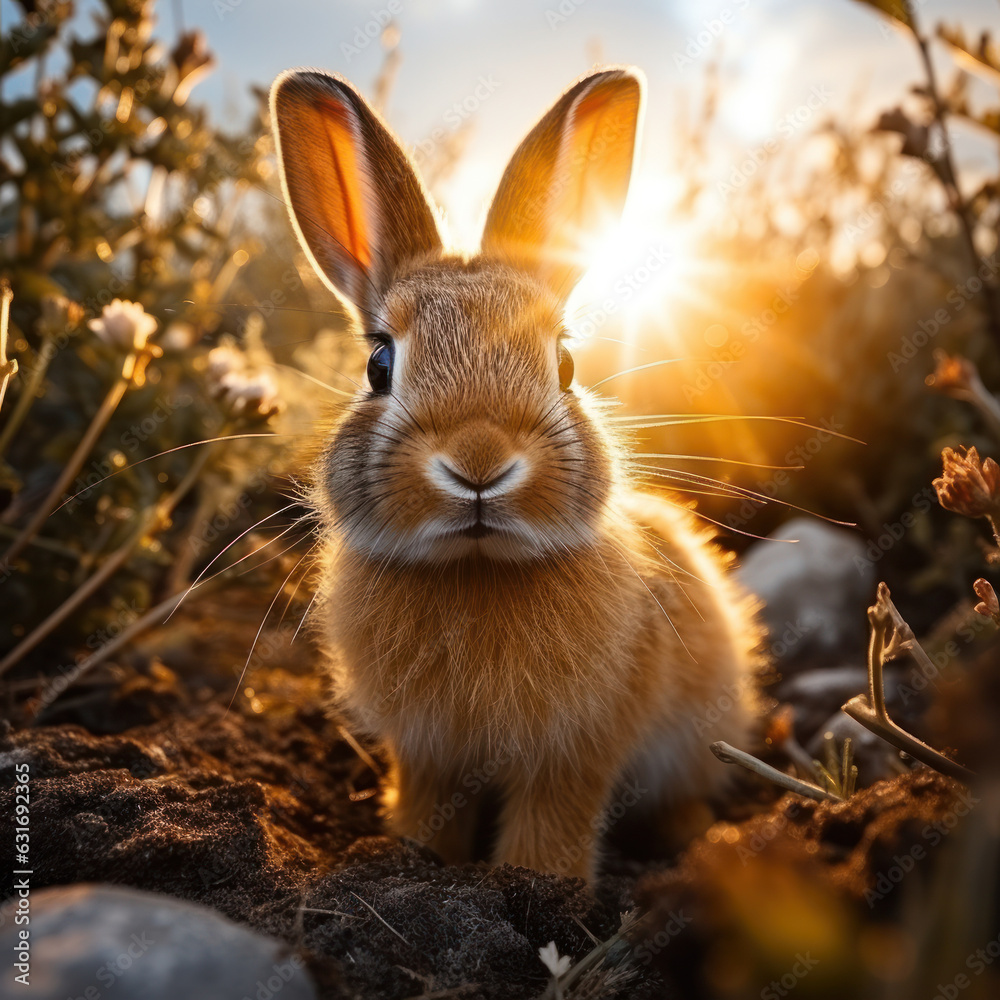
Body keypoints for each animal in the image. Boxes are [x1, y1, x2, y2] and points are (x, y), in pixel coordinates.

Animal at [270, 64, 762, 881]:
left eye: (564, 365)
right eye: (379, 365)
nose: (479, 462)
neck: (477, 568)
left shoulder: (576, 749)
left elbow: (553, 819)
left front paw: (538, 883)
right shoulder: (428, 751)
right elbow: (430, 804)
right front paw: (414, 856)